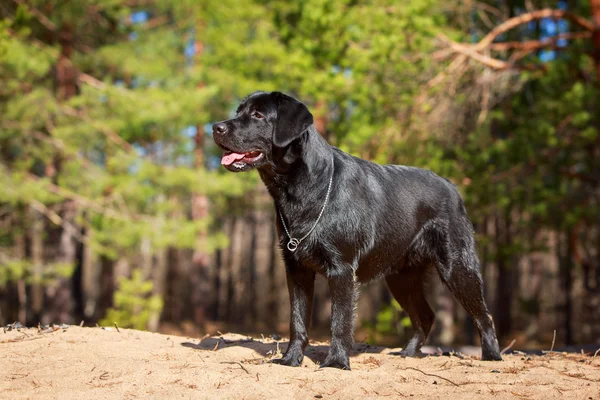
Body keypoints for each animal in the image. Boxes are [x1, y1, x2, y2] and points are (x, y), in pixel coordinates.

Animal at [212, 90, 502, 368]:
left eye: (258, 115)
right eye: (238, 111)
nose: (216, 127)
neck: (304, 189)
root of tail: (453, 187)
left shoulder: (341, 269)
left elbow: (339, 321)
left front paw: (336, 363)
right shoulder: (296, 269)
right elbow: (298, 320)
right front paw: (290, 360)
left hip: (457, 267)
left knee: (484, 315)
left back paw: (491, 357)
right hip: (401, 278)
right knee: (426, 316)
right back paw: (407, 353)